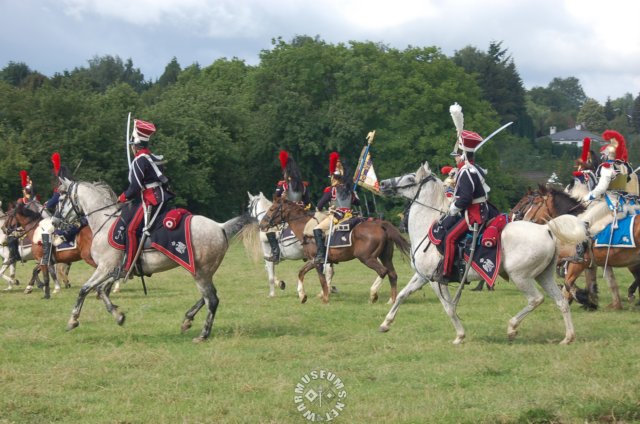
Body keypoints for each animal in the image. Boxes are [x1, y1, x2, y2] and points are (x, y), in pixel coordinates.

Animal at [57, 177, 251, 342]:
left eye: (61, 198)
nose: (55, 221)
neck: (105, 224)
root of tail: (220, 227)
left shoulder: (105, 268)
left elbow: (84, 289)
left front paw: (72, 320)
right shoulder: (114, 271)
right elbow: (101, 290)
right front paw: (118, 316)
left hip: (200, 273)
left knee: (212, 299)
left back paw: (203, 334)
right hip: (203, 272)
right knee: (209, 296)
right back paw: (187, 320)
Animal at [258, 197, 410, 304]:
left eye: (272, 209)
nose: (261, 225)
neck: (305, 228)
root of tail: (380, 224)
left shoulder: (317, 261)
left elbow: (322, 280)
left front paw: (325, 298)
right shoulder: (313, 260)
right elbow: (301, 273)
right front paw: (302, 295)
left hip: (367, 258)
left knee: (383, 271)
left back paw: (373, 295)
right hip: (386, 257)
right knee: (392, 274)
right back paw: (392, 300)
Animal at [376, 162, 592, 344]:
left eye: (410, 178)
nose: (383, 183)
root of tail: (546, 229)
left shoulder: (435, 280)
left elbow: (448, 307)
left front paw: (459, 336)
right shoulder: (423, 276)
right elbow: (403, 294)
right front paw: (385, 324)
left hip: (521, 277)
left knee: (536, 299)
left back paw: (512, 328)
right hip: (543, 275)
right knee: (561, 301)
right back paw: (568, 337)